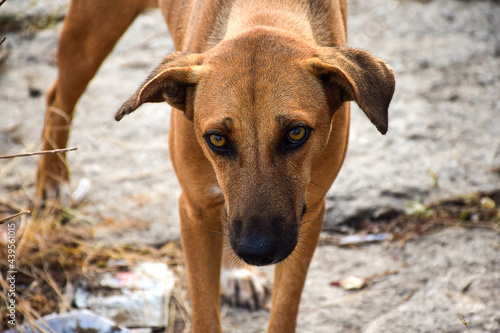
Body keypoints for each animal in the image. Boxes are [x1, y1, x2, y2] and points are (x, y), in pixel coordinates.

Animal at [37, 1, 394, 330]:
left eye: (296, 133)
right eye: (217, 139)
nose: (257, 251)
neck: (264, 13)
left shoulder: (310, 212)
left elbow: (284, 308)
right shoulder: (194, 209)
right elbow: (205, 311)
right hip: (88, 32)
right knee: (57, 97)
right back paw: (52, 182)